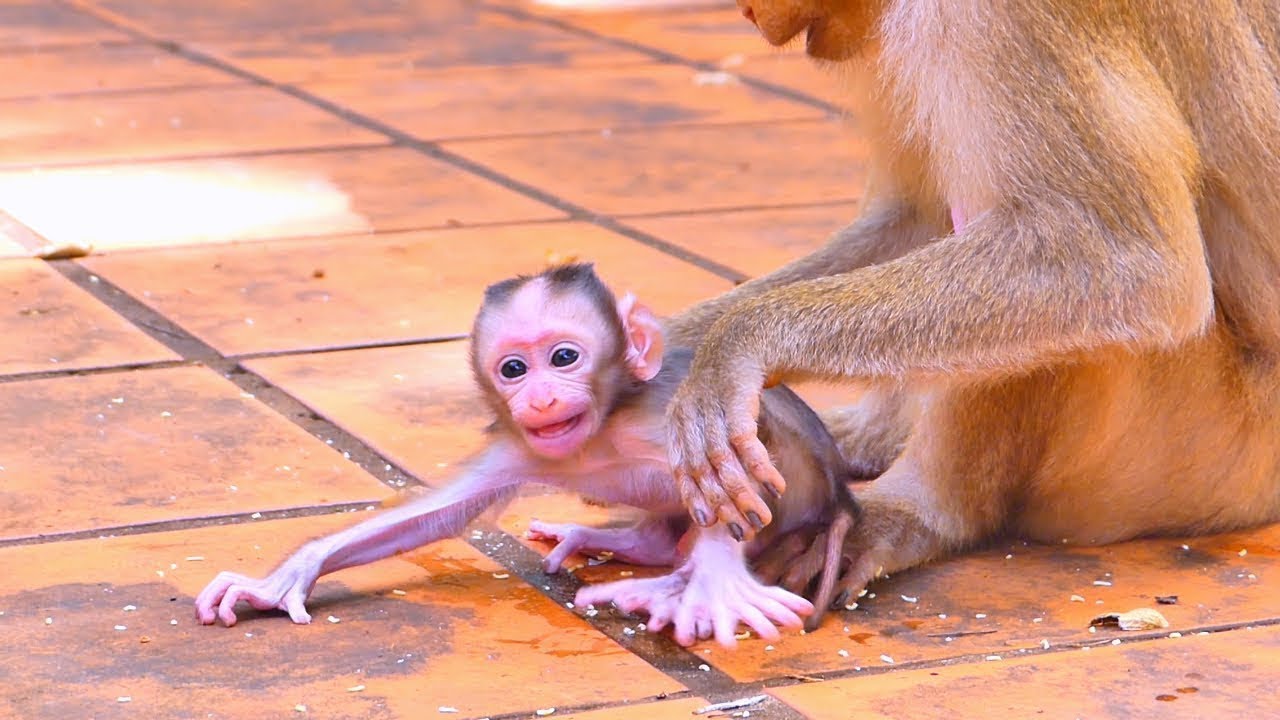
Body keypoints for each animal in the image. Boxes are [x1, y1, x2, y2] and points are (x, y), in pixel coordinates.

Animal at [195, 263, 861, 647]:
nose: (540, 397)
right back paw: (635, 547)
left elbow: (734, 462)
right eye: (513, 368)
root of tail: (841, 494)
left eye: (564, 358)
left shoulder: (661, 415)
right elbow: (438, 516)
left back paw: (675, 579)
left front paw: (715, 581)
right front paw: (283, 579)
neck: (600, 433)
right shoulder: (516, 448)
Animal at [656, 0, 1280, 610]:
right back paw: (869, 440)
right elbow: (918, 215)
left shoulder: (999, 16)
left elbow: (1128, 261)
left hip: (1194, 454)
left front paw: (737, 345)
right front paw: (663, 343)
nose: (746, 13)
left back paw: (920, 512)